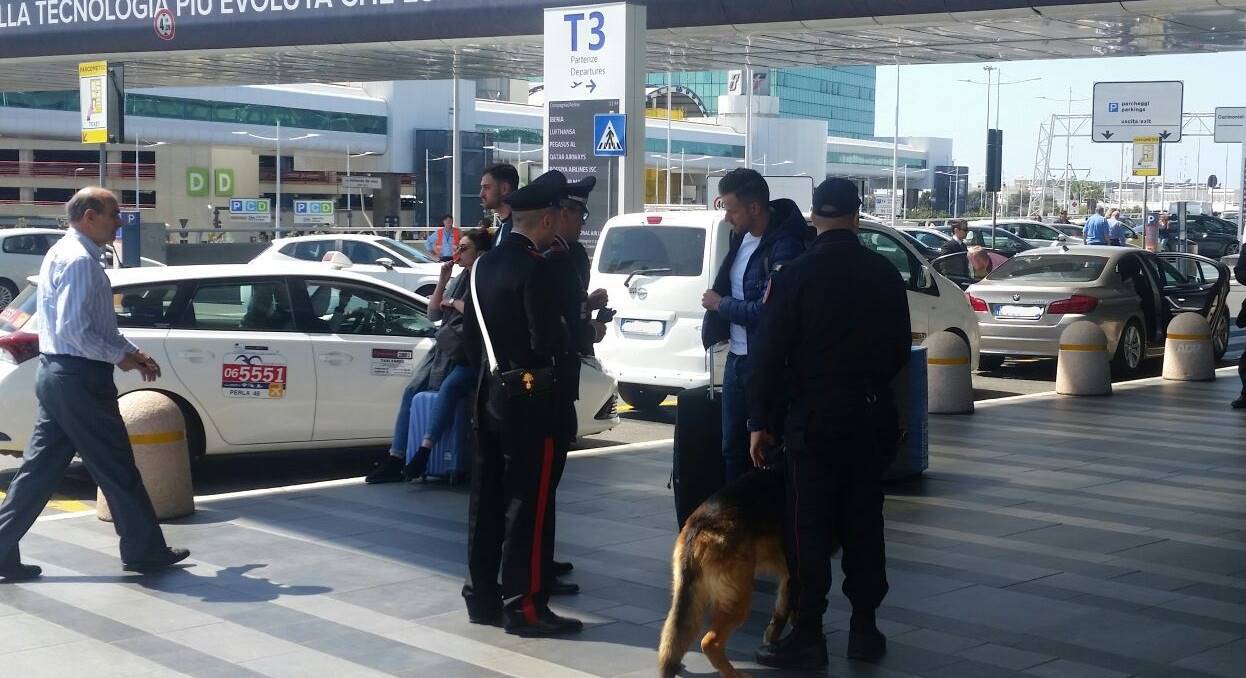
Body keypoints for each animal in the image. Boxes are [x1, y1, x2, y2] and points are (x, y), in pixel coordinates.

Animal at [657, 468, 842, 678]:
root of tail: (700, 526)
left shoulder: (788, 577)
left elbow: (782, 611)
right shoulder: (793, 575)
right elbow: (786, 610)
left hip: (688, 595)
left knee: (674, 635)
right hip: (739, 600)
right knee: (710, 642)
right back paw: (734, 673)